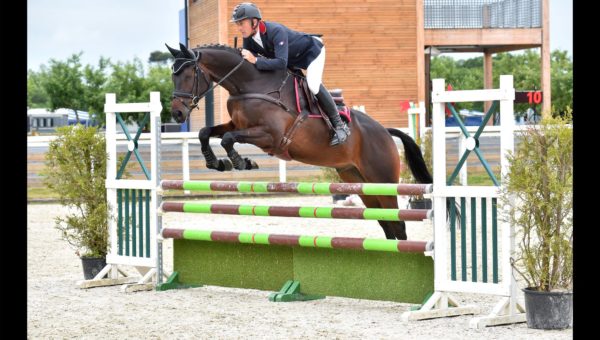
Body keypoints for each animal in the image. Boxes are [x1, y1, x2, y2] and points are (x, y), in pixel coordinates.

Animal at [166, 42, 434, 240]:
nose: (177, 113)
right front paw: (217, 163)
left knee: (398, 225)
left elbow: (228, 139)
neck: (250, 84)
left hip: (383, 181)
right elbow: (206, 132)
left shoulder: (270, 135)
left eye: (188, 75)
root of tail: (385, 132)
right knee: (387, 224)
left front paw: (241, 162)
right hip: (358, 181)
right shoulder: (238, 125)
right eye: (173, 76)